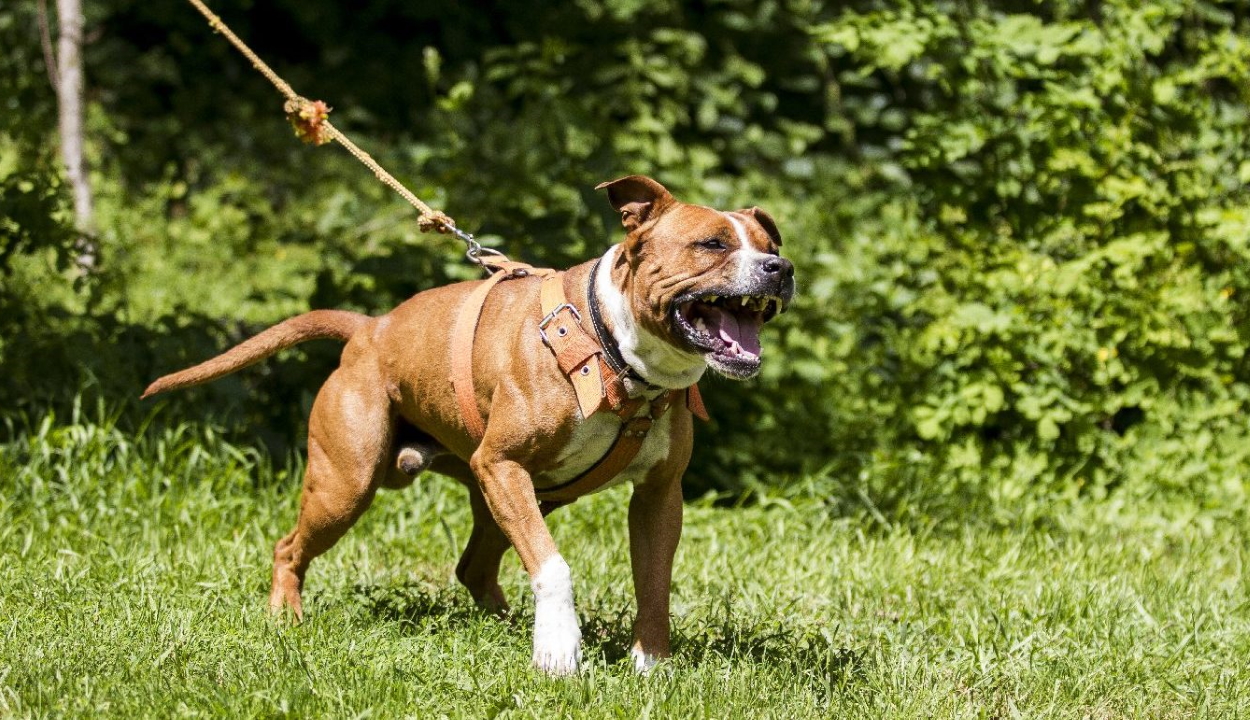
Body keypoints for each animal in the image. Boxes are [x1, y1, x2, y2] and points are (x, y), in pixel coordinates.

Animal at [143, 176, 790, 675]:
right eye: (710, 244)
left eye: (770, 243)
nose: (780, 268)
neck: (615, 356)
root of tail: (369, 329)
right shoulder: (503, 464)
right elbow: (554, 567)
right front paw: (559, 651)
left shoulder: (658, 495)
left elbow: (653, 582)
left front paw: (650, 665)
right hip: (350, 484)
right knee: (289, 546)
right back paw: (286, 617)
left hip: (508, 497)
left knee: (474, 566)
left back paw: (503, 624)